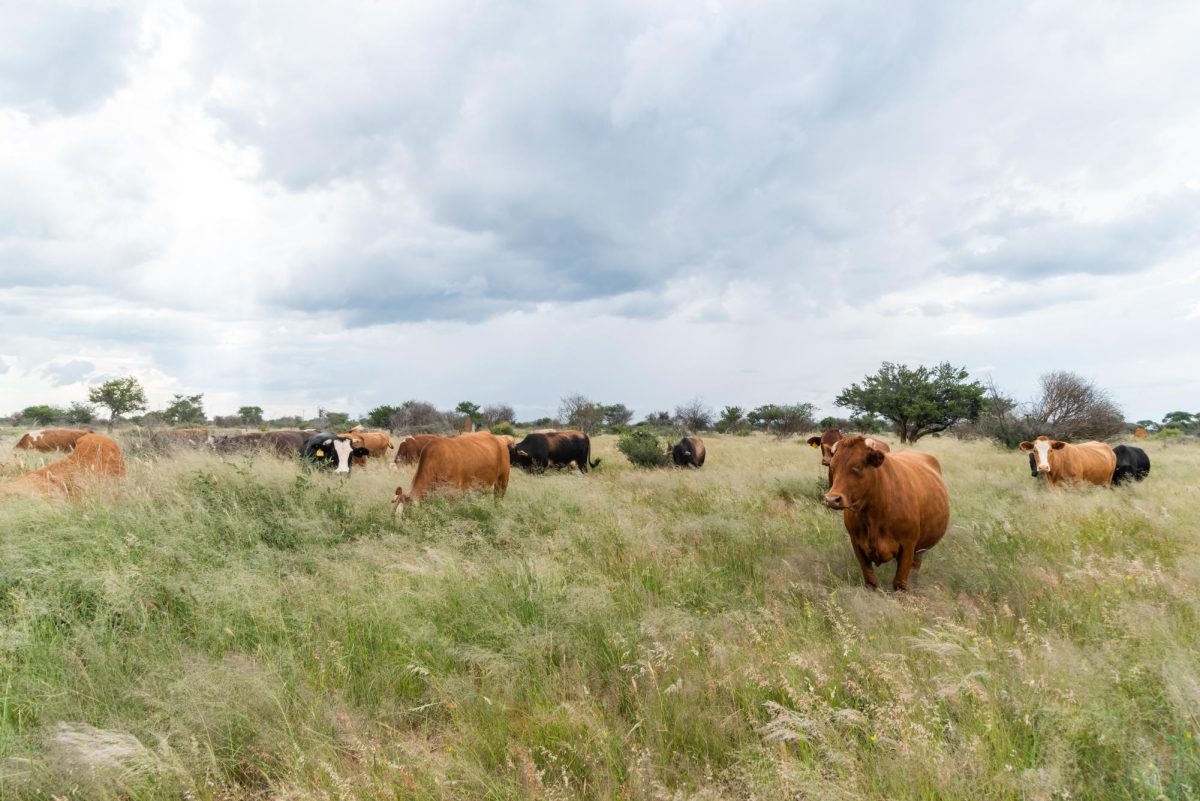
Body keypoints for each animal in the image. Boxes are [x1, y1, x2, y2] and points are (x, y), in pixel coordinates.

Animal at [820, 434, 950, 592]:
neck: (873, 516)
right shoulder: (857, 544)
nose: (832, 499)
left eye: (858, 467)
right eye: (833, 467)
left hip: (920, 549)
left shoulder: (908, 546)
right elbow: (870, 580)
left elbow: (900, 583)